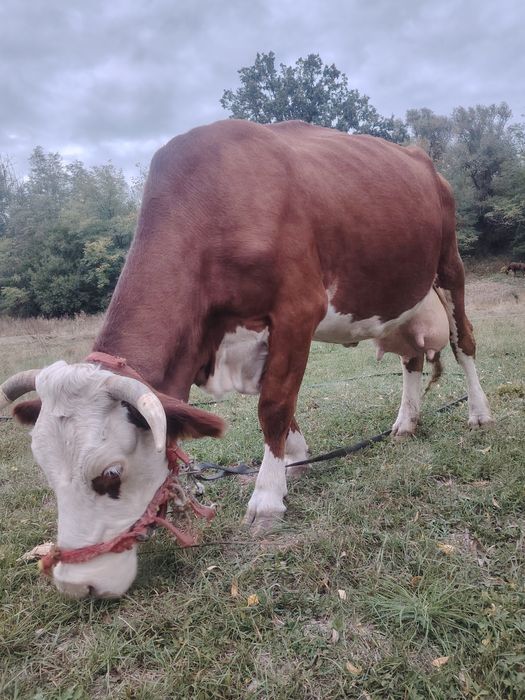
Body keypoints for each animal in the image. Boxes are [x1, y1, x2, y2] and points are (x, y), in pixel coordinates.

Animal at [0, 119, 493, 598]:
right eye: (45, 471)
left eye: (110, 474)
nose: (74, 585)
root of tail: (422, 159)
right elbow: (280, 401)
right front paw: (295, 459)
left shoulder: (298, 309)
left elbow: (273, 404)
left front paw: (267, 498)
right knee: (411, 359)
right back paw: (406, 423)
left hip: (450, 264)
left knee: (463, 342)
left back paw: (479, 413)